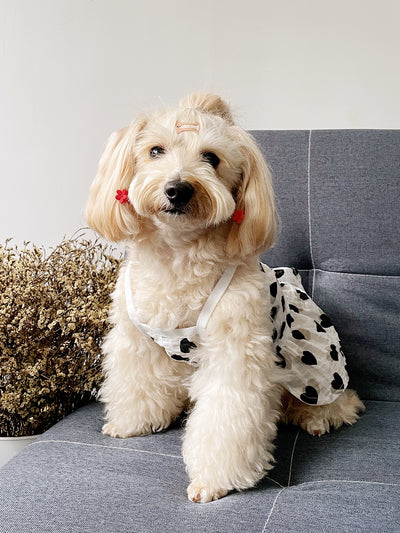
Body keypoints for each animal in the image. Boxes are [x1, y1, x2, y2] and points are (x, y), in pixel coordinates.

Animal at [86, 92, 364, 502]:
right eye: (155, 150)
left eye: (211, 158)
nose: (179, 188)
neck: (178, 255)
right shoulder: (137, 340)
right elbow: (137, 381)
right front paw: (132, 422)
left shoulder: (235, 352)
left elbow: (226, 414)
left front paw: (213, 481)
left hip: (318, 374)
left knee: (341, 401)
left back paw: (315, 417)